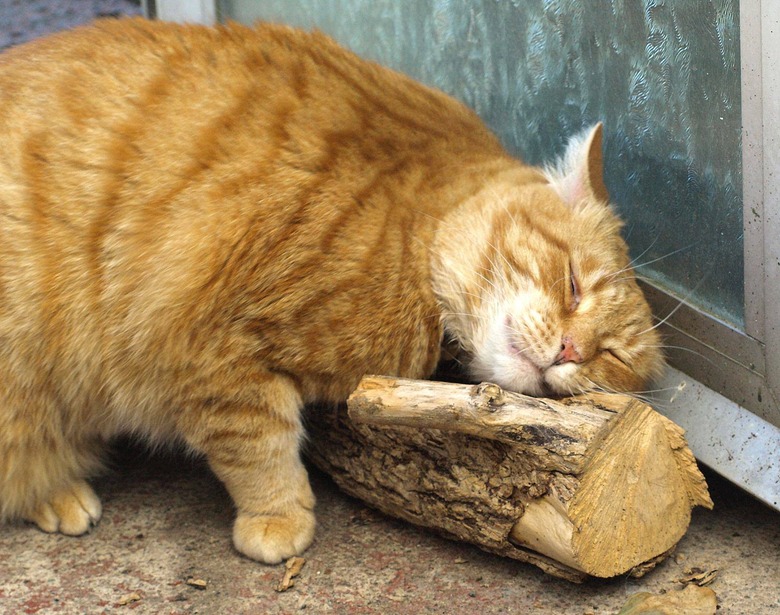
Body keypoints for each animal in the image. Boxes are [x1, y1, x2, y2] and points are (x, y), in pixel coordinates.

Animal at [0, 19, 664, 564]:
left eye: (611, 357)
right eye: (573, 284)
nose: (572, 350)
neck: (416, 224)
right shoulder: (207, 345)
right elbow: (257, 441)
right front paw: (278, 516)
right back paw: (56, 491)